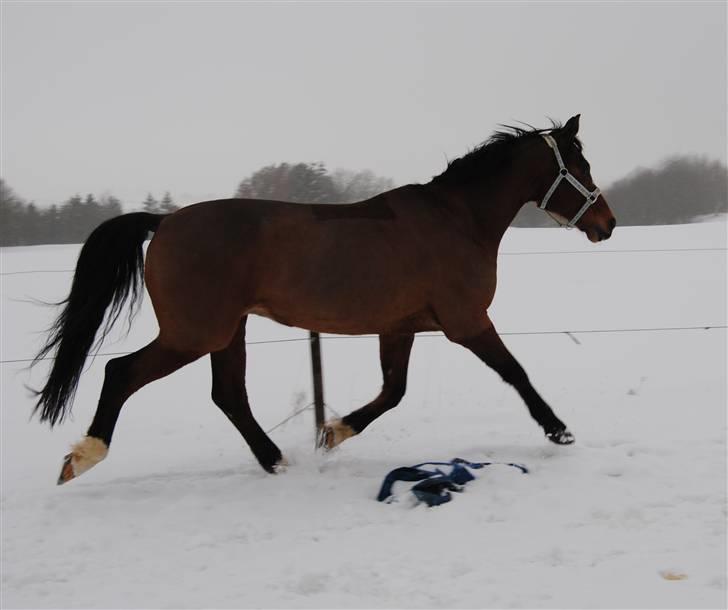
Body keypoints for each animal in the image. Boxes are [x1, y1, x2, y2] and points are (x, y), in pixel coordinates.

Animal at [32, 115, 616, 484]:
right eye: (580, 167)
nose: (607, 224)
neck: (456, 220)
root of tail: (164, 221)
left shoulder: (401, 327)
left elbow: (393, 392)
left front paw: (332, 432)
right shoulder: (467, 321)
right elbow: (515, 372)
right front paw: (559, 430)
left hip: (228, 331)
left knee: (229, 395)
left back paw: (275, 461)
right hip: (193, 333)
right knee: (121, 372)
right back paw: (81, 458)